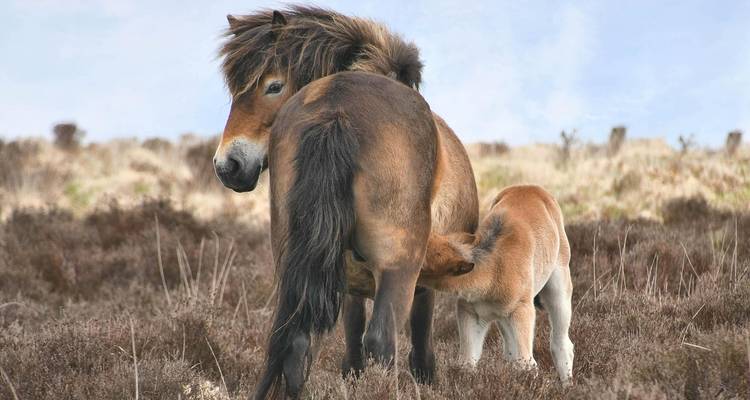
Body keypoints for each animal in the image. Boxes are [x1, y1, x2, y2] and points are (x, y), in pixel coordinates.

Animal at [212, 6, 478, 397]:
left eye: (273, 86)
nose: (227, 165)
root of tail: (335, 110)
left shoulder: (347, 278)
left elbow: (351, 341)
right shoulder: (422, 278)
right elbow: (417, 339)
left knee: (296, 343)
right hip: (399, 267)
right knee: (382, 342)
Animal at [417, 185, 575, 383]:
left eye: (423, 264)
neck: (494, 268)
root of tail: (531, 188)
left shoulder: (522, 311)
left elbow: (527, 363)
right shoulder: (472, 314)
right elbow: (467, 362)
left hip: (559, 289)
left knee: (561, 343)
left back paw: (567, 384)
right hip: (503, 319)